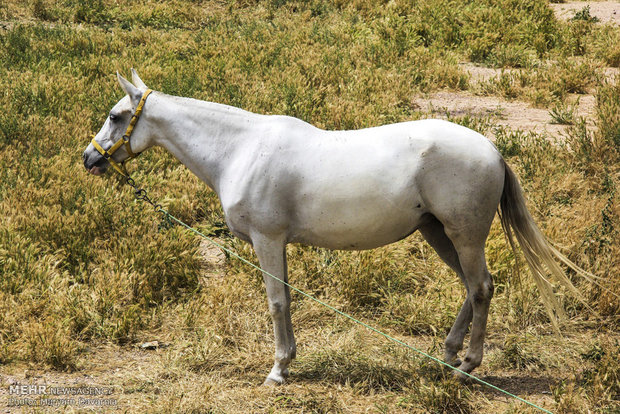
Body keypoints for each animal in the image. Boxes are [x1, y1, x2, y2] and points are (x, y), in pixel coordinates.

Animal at [85, 70, 588, 384]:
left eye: (114, 116)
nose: (90, 158)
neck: (240, 150)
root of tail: (493, 150)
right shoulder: (277, 243)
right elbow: (285, 301)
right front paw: (288, 361)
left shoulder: (268, 240)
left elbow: (277, 303)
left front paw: (278, 370)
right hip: (438, 233)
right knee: (472, 286)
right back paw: (447, 355)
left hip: (463, 236)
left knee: (480, 287)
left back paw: (467, 365)